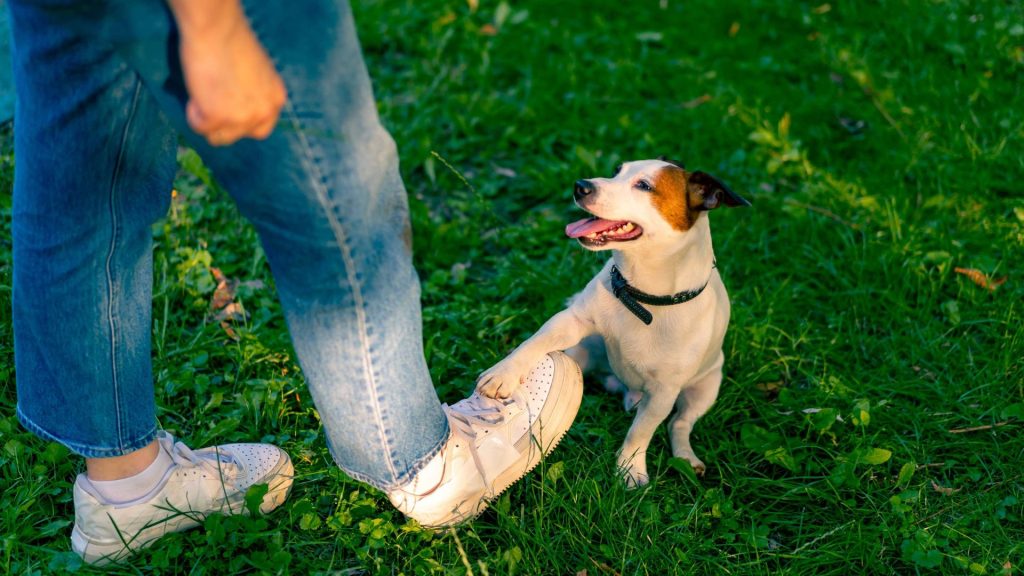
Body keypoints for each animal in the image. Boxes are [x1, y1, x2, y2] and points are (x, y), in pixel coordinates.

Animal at [475, 155, 749, 483]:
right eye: (617, 171)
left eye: (644, 185)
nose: (581, 186)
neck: (639, 296)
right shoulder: (572, 322)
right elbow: (534, 342)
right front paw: (503, 373)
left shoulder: (663, 394)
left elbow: (640, 432)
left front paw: (630, 467)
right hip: (581, 356)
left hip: (704, 389)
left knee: (679, 423)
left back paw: (685, 455)